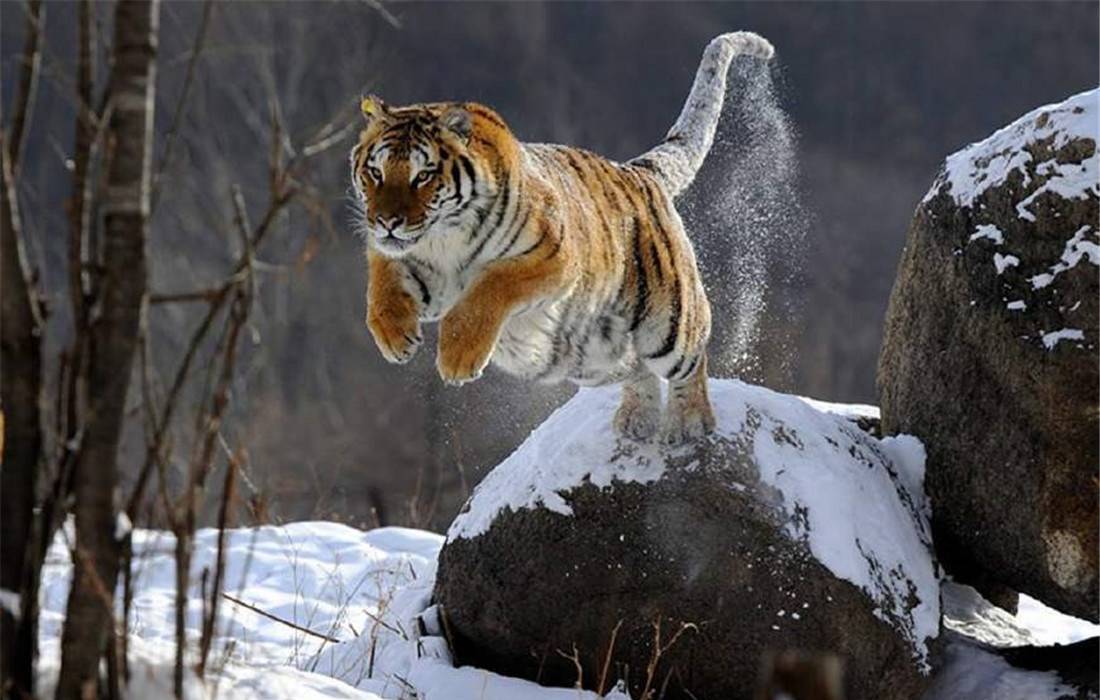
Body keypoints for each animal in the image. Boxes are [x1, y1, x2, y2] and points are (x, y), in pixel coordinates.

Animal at [349, 31, 774, 442]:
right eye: (375, 172)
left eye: (422, 176)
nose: (386, 221)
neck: (443, 241)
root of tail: (639, 172)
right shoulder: (408, 262)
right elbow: (381, 286)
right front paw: (395, 337)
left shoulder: (553, 257)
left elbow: (487, 289)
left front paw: (457, 358)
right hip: (594, 356)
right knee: (636, 367)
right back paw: (637, 419)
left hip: (669, 324)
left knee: (690, 361)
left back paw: (689, 423)